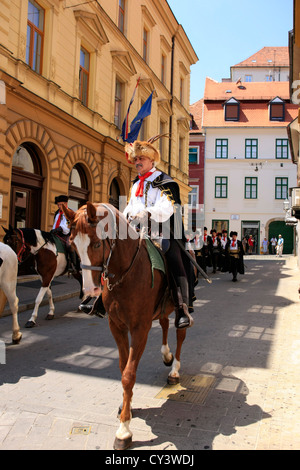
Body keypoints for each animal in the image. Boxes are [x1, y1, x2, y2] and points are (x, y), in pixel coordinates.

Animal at [63, 203, 188, 452]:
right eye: (72, 244)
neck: (126, 272)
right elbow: (123, 369)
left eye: (97, 243)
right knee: (164, 323)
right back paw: (166, 355)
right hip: (160, 310)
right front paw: (126, 406)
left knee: (180, 333)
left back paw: (174, 369)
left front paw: (124, 429)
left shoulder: (140, 328)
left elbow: (129, 375)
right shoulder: (116, 326)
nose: (90, 291)